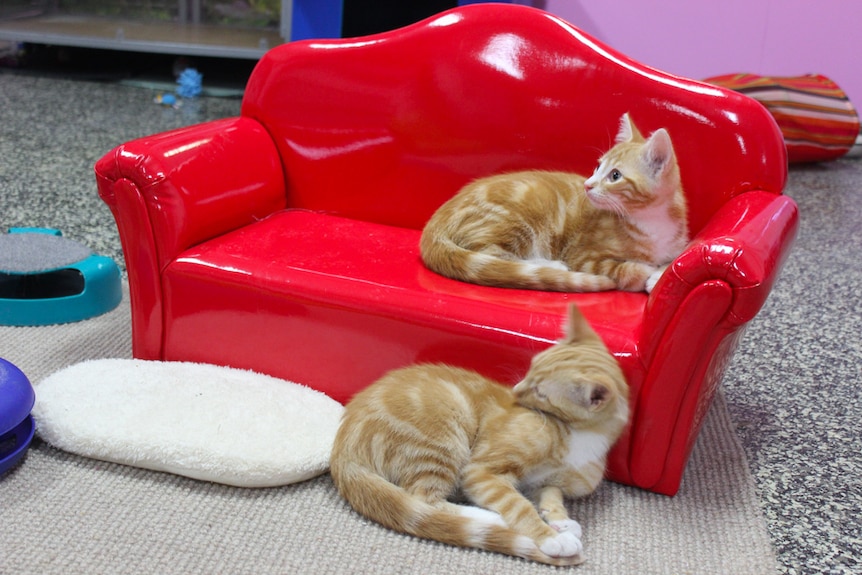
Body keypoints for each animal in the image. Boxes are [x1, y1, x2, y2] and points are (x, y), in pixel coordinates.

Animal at [330, 306, 628, 568]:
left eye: (541, 392)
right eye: (531, 368)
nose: (515, 390)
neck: (582, 438)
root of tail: (343, 449)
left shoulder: (544, 481)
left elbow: (552, 495)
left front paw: (561, 521)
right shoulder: (481, 470)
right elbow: (518, 504)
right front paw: (550, 536)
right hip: (443, 435)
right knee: (424, 501)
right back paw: (491, 518)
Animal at [418, 112, 688, 292]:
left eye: (615, 175)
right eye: (597, 167)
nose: (587, 185)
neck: (651, 222)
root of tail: (438, 218)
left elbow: (671, 261)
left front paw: (661, 272)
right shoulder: (583, 257)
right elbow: (628, 270)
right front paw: (649, 272)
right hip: (517, 216)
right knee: (491, 254)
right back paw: (552, 266)